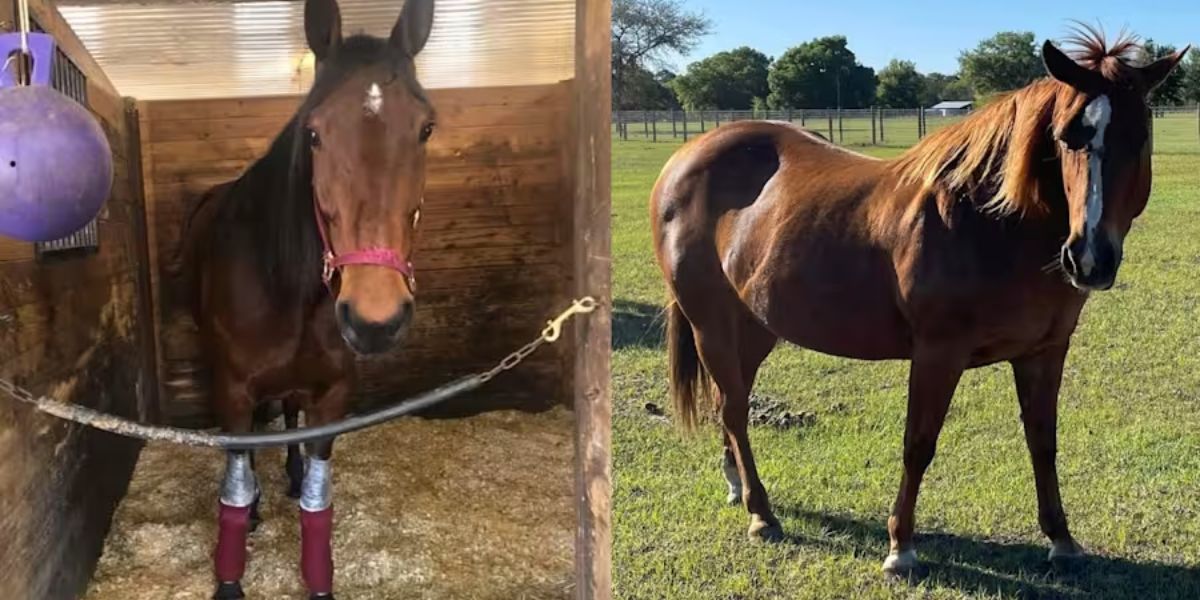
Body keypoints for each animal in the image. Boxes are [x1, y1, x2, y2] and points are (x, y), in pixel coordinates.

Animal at [177, 0, 436, 597]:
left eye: (426, 128)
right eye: (314, 133)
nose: (374, 318)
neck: (287, 284)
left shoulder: (333, 394)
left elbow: (319, 502)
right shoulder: (232, 390)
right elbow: (235, 486)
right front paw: (230, 573)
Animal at [651, 29, 1187, 574]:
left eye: (1139, 137)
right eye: (1065, 137)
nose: (1089, 258)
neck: (989, 224)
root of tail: (685, 158)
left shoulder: (1045, 351)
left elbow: (1043, 441)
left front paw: (1061, 538)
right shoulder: (936, 354)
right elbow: (919, 444)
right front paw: (901, 547)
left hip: (756, 327)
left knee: (729, 403)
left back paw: (737, 486)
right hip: (710, 324)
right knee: (736, 410)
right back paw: (762, 514)